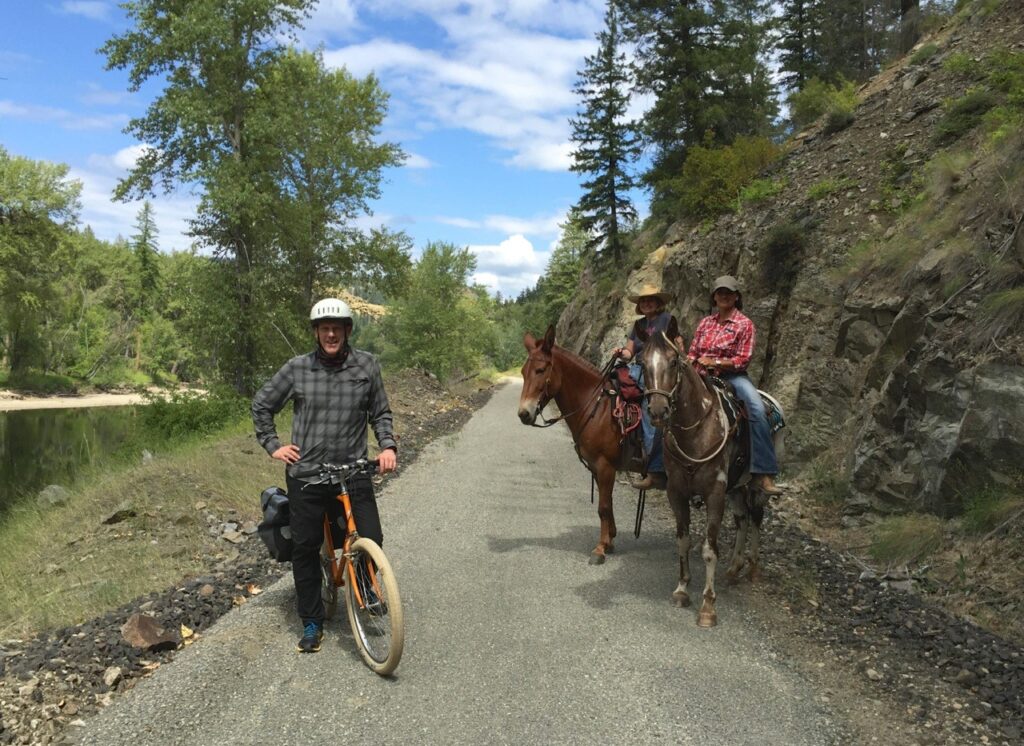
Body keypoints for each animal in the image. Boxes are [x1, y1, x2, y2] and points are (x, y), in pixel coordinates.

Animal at [520, 325, 630, 564]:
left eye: (540, 370)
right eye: (523, 372)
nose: (524, 414)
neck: (597, 407)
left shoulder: (606, 466)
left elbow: (603, 506)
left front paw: (600, 549)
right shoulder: (599, 468)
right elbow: (608, 503)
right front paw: (609, 540)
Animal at [634, 323, 778, 626]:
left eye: (674, 361)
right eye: (642, 363)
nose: (657, 411)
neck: (697, 431)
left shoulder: (714, 493)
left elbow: (709, 550)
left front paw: (708, 606)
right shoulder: (676, 492)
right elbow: (684, 541)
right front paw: (681, 590)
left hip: (754, 487)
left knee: (756, 518)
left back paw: (753, 569)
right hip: (736, 488)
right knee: (742, 519)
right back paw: (733, 569)